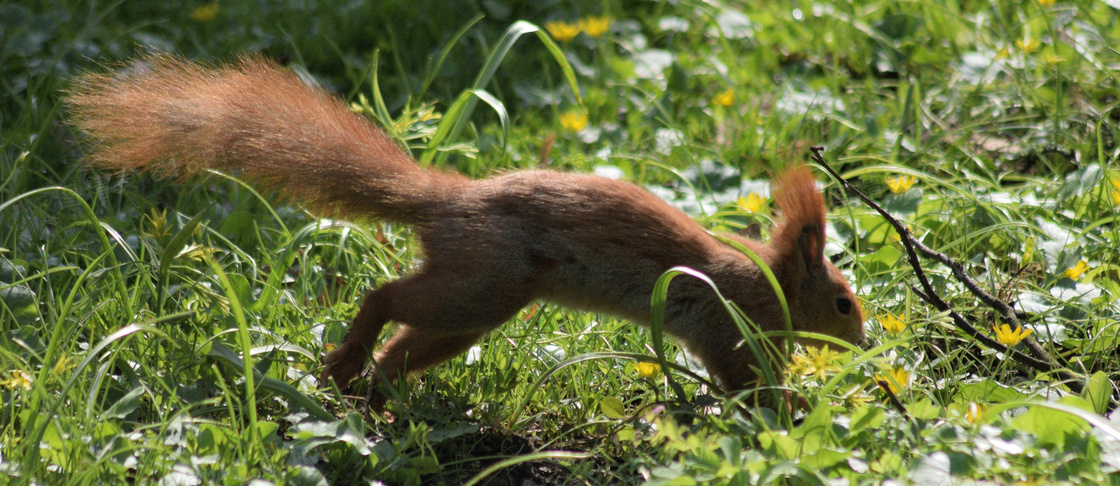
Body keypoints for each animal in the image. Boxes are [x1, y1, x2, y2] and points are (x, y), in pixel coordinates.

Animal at [63, 55, 864, 414]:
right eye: (844, 302)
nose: (864, 343)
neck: (766, 284)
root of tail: (447, 203)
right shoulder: (726, 325)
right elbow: (745, 384)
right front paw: (795, 410)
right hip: (484, 282)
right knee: (385, 297)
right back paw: (349, 360)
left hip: (476, 305)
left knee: (405, 344)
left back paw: (373, 388)